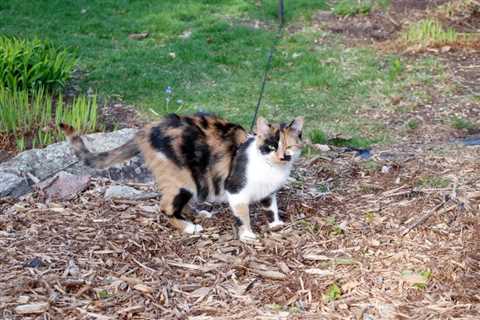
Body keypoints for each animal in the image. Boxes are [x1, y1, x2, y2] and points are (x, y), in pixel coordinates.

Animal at [60, 112, 304, 240]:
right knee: (166, 206)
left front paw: (276, 224)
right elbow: (242, 215)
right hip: (182, 178)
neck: (270, 168)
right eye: (271, 146)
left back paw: (197, 213)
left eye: (289, 146)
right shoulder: (236, 190)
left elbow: (271, 206)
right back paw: (189, 227)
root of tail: (146, 129)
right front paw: (247, 235)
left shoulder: (268, 192)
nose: (282, 156)